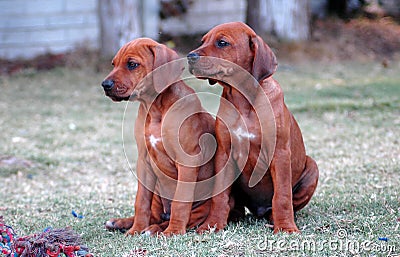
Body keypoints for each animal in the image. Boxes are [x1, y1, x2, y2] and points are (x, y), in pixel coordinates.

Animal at [188, 22, 318, 232]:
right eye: (203, 41)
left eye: (222, 42)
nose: (190, 57)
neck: (244, 101)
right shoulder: (224, 153)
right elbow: (219, 196)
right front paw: (212, 224)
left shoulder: (280, 154)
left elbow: (282, 195)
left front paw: (286, 227)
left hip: (312, 168)